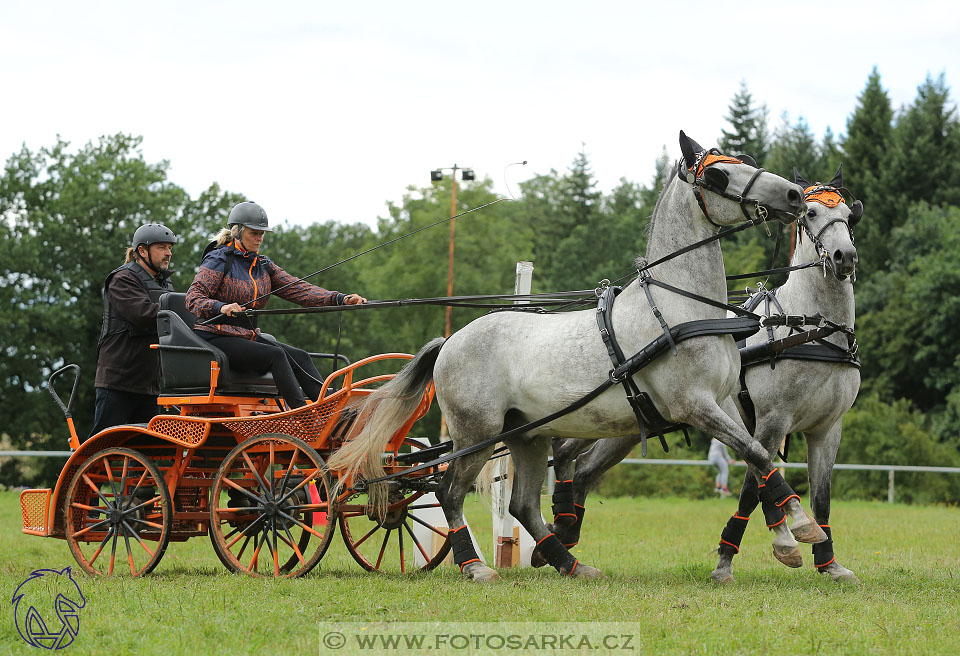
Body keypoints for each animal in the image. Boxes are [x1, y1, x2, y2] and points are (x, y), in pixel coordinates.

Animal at [330, 131, 816, 580]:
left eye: (743, 159)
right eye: (718, 175)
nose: (794, 195)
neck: (680, 307)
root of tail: (450, 341)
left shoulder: (724, 404)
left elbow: (758, 457)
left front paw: (789, 534)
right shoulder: (693, 405)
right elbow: (758, 456)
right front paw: (802, 527)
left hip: (526, 435)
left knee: (523, 505)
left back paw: (570, 563)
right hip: (476, 433)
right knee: (450, 492)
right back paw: (476, 566)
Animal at [544, 167, 868, 580]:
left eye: (848, 215)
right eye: (811, 214)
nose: (845, 258)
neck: (810, 329)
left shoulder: (828, 428)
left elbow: (821, 498)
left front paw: (829, 562)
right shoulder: (770, 421)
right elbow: (752, 487)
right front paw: (733, 558)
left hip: (626, 422)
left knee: (583, 467)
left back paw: (563, 532)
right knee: (566, 452)